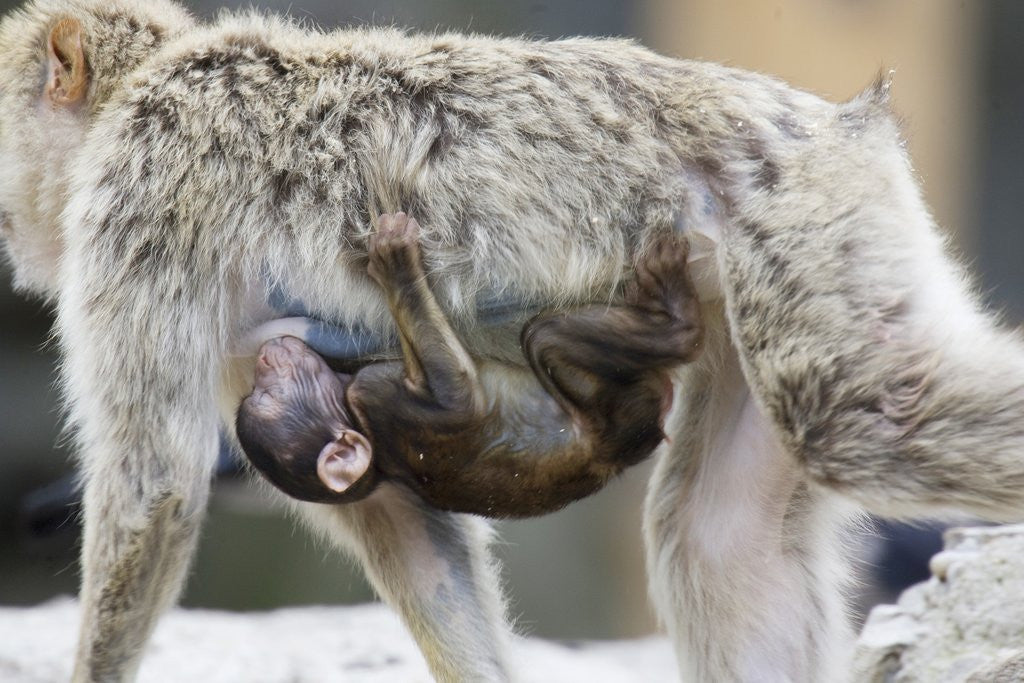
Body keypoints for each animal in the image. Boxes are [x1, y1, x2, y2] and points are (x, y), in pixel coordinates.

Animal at [235, 212, 703, 517]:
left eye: (263, 388)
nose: (267, 359)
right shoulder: (373, 397)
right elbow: (459, 402)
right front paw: (395, 262)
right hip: (619, 411)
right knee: (545, 337)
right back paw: (675, 316)